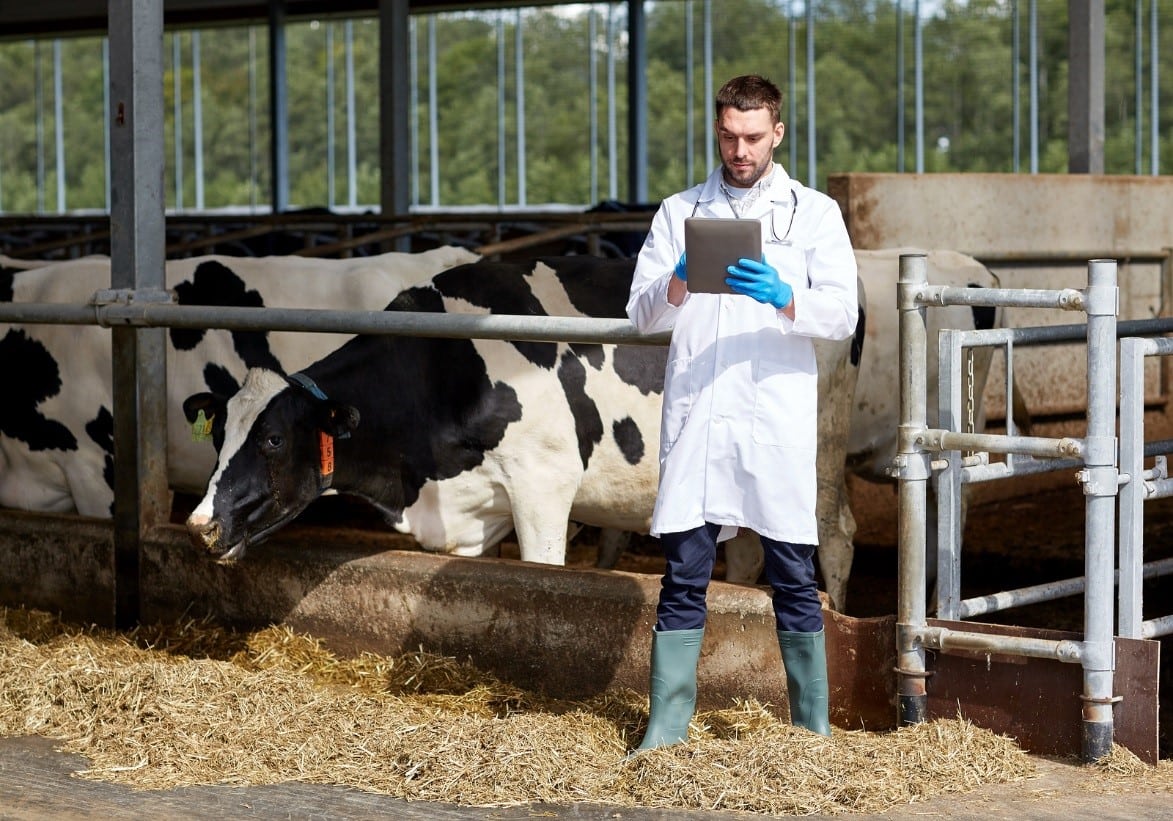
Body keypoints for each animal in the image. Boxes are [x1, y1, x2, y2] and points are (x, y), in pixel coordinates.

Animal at [180, 256, 863, 609]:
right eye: (219, 437)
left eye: (272, 439)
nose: (200, 524)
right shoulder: (466, 512)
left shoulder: (543, 485)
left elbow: (542, 575)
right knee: (747, 548)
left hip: (818, 461)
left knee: (838, 537)